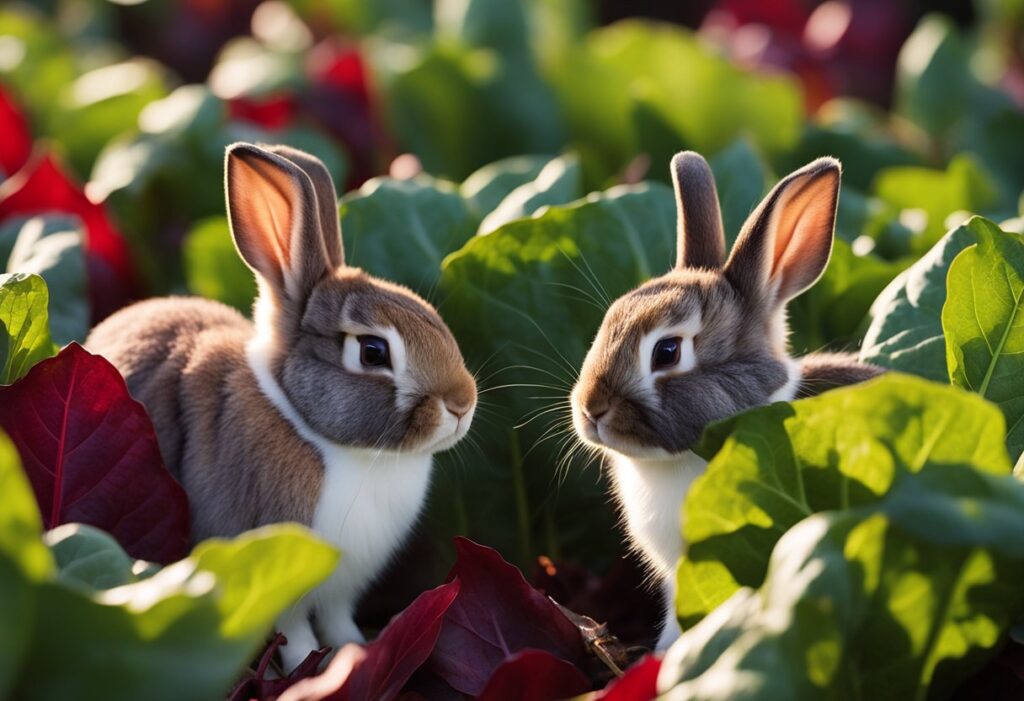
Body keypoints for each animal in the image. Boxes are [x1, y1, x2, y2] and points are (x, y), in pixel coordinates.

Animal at [88, 142, 475, 667]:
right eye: (373, 352)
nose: (461, 403)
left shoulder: (341, 589)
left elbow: (337, 619)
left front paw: (356, 649)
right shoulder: (275, 568)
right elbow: (295, 634)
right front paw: (311, 669)